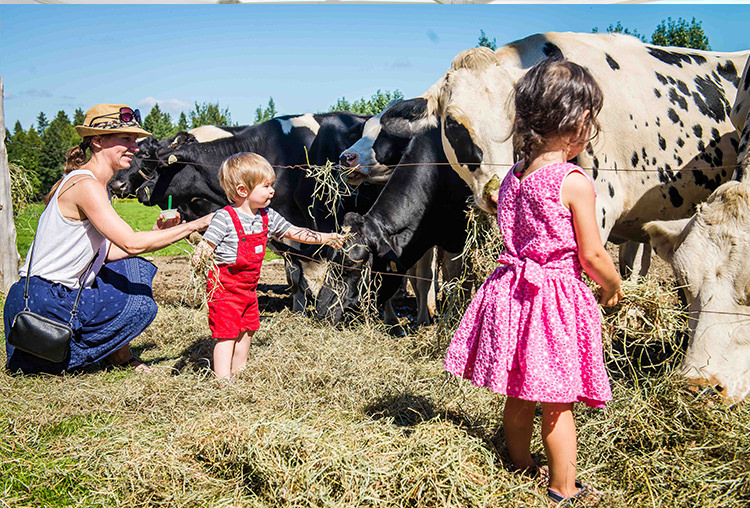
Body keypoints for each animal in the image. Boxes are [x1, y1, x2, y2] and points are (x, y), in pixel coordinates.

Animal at [316, 122, 470, 326]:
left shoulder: (456, 234)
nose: (321, 311)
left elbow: (447, 275)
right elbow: (417, 277)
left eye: (353, 265)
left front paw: (442, 319)